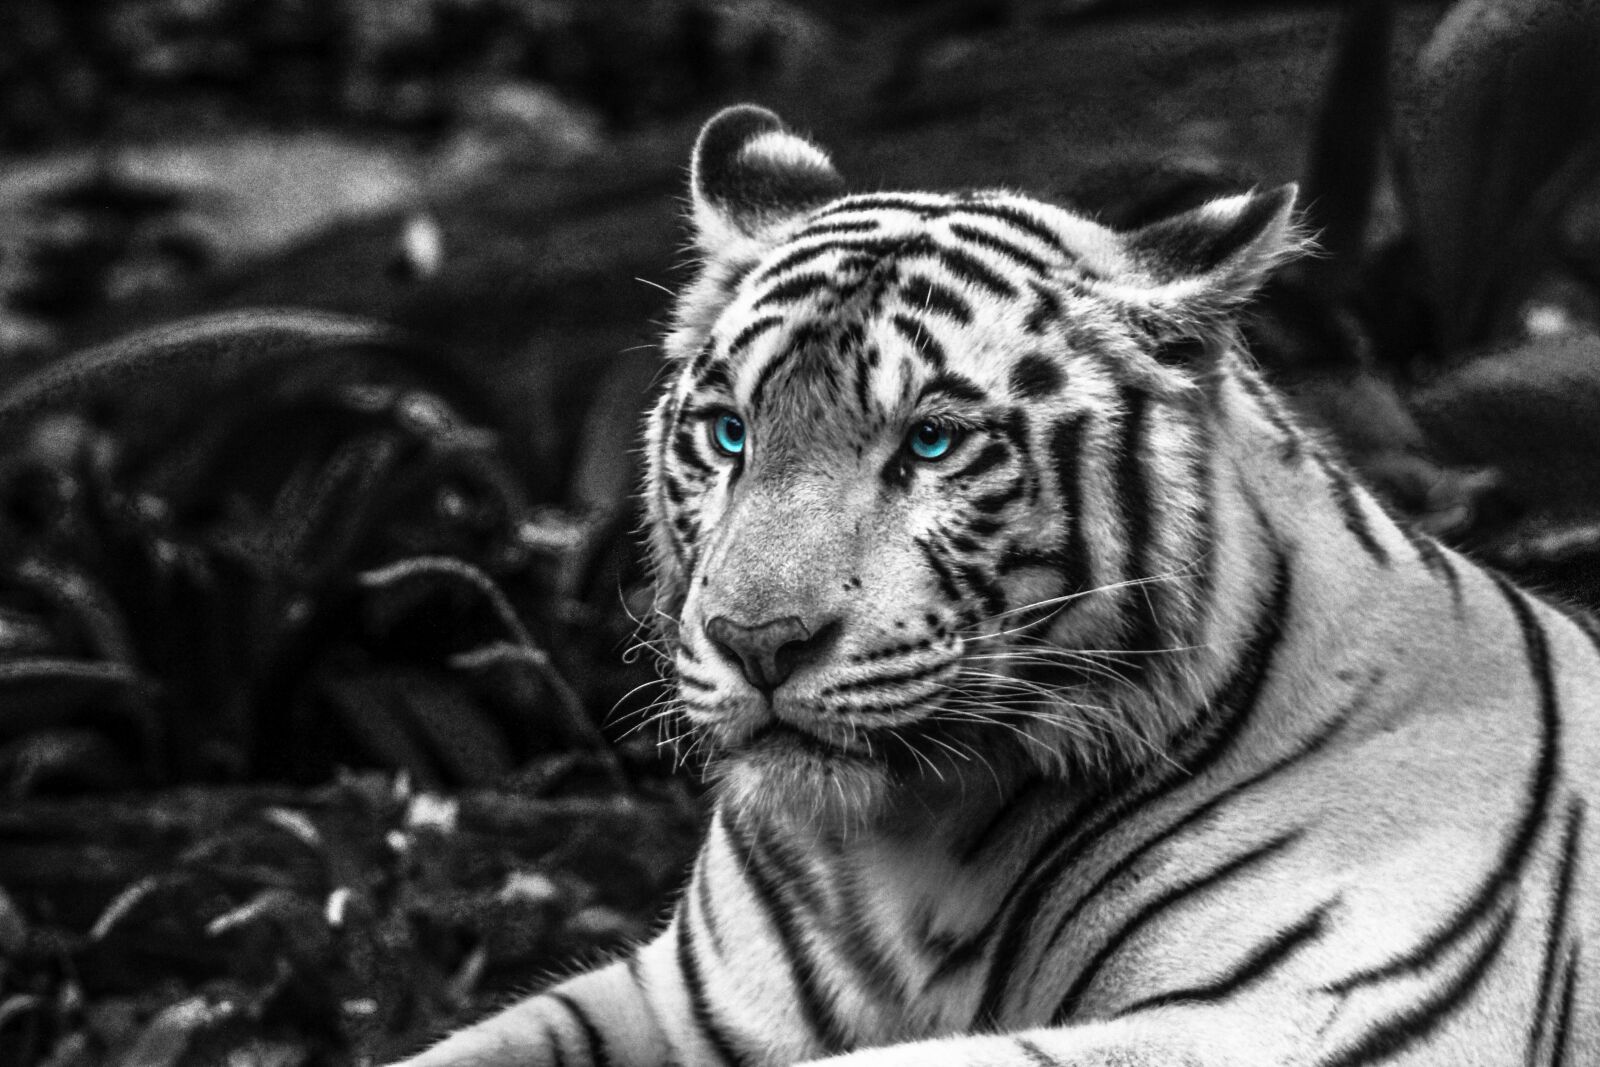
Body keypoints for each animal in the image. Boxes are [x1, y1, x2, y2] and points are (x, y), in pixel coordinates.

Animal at [390, 106, 1600, 1067]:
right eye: (729, 432)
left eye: (931, 443)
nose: (756, 639)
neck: (905, 852)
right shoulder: (684, 996)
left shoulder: (1291, 1017)